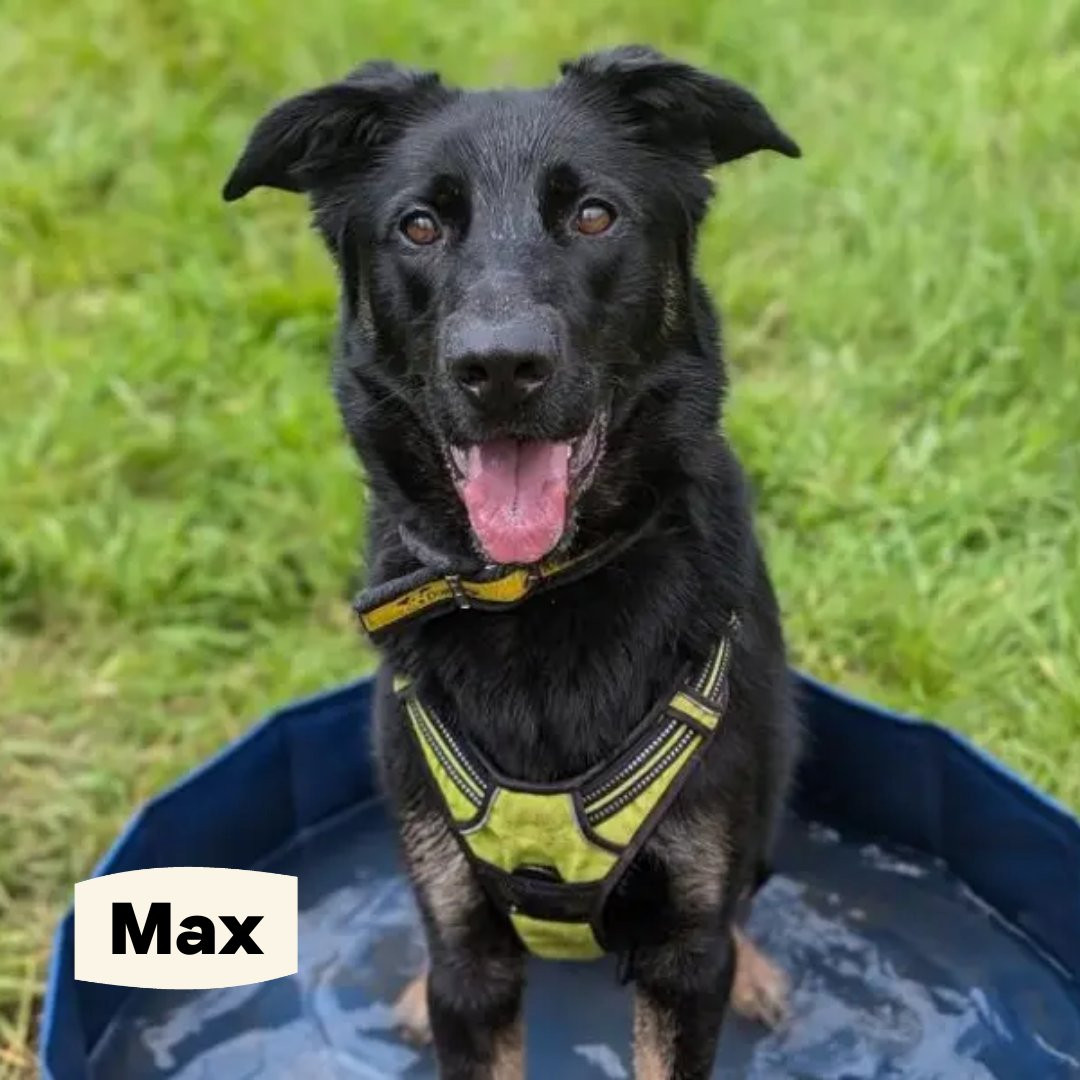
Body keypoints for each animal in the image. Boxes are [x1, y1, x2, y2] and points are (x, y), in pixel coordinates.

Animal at [225, 45, 801, 1079]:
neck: (539, 593)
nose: (499, 369)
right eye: (418, 226)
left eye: (594, 215)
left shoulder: (685, 955)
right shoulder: (468, 954)